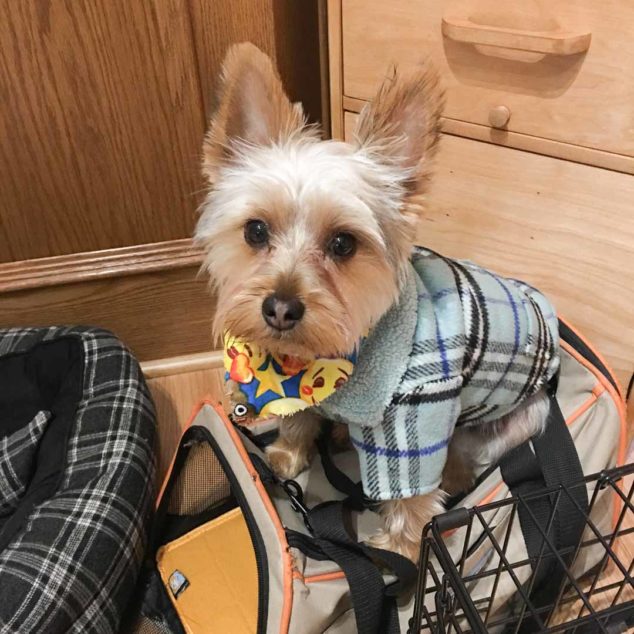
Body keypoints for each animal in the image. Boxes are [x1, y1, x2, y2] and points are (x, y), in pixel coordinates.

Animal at [194, 43, 556, 556]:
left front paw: (398, 552)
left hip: (511, 423)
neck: (332, 356)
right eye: (256, 231)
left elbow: (413, 499)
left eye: (344, 243)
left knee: (465, 461)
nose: (281, 307)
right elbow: (299, 419)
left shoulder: (416, 416)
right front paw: (287, 453)